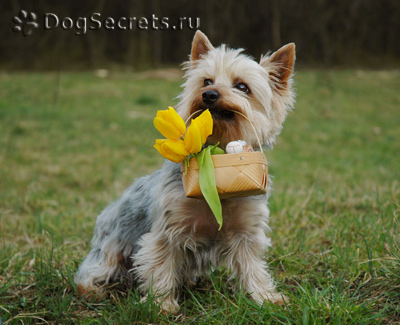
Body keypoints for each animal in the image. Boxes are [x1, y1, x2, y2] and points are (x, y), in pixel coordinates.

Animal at [75, 30, 296, 312]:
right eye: (206, 81)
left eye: (242, 87)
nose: (209, 94)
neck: (215, 156)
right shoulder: (167, 230)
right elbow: (161, 265)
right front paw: (161, 305)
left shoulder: (247, 230)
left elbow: (252, 266)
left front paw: (265, 298)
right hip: (110, 250)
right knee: (91, 272)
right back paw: (93, 291)